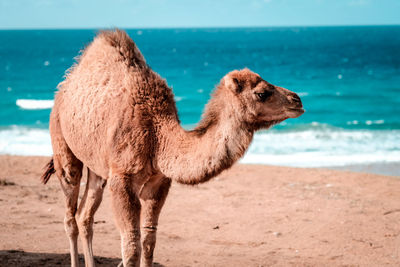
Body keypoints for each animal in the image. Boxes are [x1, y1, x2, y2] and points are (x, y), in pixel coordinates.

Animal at [40, 29, 304, 267]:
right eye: (262, 93)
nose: (297, 100)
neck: (158, 137)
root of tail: (66, 83)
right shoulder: (122, 181)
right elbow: (131, 247)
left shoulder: (158, 183)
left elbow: (148, 241)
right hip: (62, 143)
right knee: (70, 213)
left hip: (98, 168)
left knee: (85, 216)